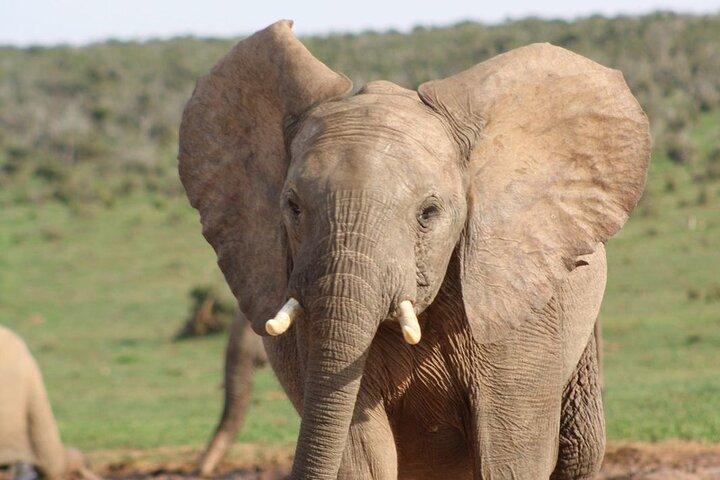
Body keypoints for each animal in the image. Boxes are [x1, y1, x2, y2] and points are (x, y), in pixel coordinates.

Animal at [178, 20, 650, 480]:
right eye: (293, 207)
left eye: (428, 212)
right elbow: (358, 452)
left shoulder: (524, 311)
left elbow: (510, 454)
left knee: (579, 450)